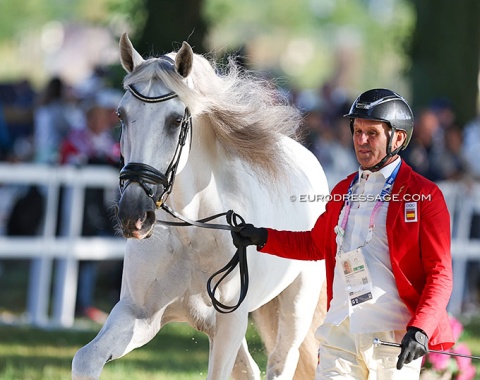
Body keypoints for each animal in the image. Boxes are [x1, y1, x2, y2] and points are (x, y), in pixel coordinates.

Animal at [72, 33, 330, 380]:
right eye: (120, 115)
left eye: (176, 120)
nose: (133, 216)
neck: (191, 234)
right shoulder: (141, 314)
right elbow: (86, 359)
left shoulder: (230, 321)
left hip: (296, 303)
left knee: (280, 362)